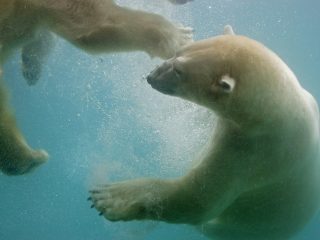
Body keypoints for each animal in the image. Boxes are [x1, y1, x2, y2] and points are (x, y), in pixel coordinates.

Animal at [88, 25, 320, 239]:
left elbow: (198, 200)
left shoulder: (253, 153)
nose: (151, 76)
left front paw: (109, 198)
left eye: (179, 71)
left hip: (238, 229)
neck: (275, 111)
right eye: (176, 52)